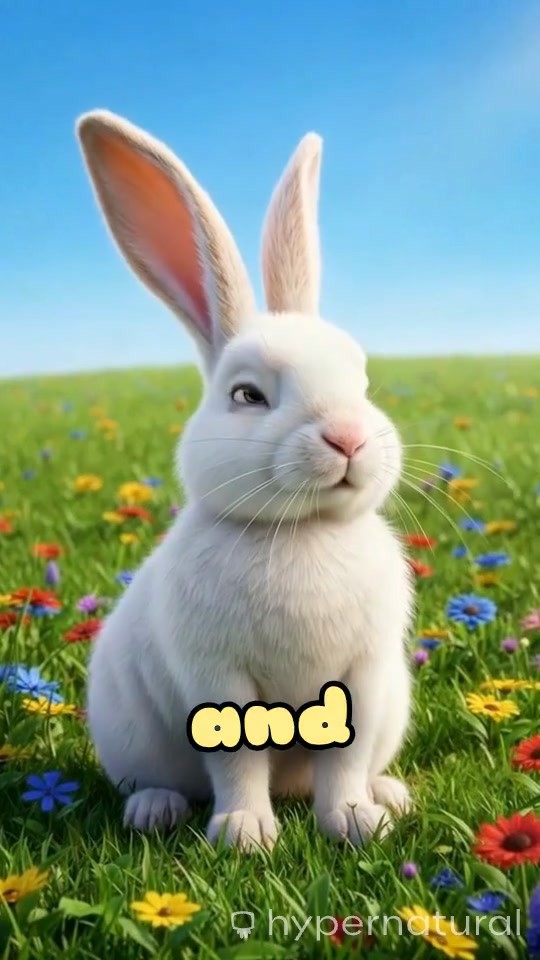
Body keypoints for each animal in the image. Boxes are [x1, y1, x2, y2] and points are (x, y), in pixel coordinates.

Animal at [77, 109, 414, 851]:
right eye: (248, 396)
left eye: (363, 380)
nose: (347, 437)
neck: (302, 531)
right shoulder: (219, 676)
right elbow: (238, 760)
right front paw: (245, 834)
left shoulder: (365, 674)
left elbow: (343, 761)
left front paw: (354, 820)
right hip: (131, 733)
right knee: (156, 781)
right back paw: (157, 810)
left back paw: (388, 794)